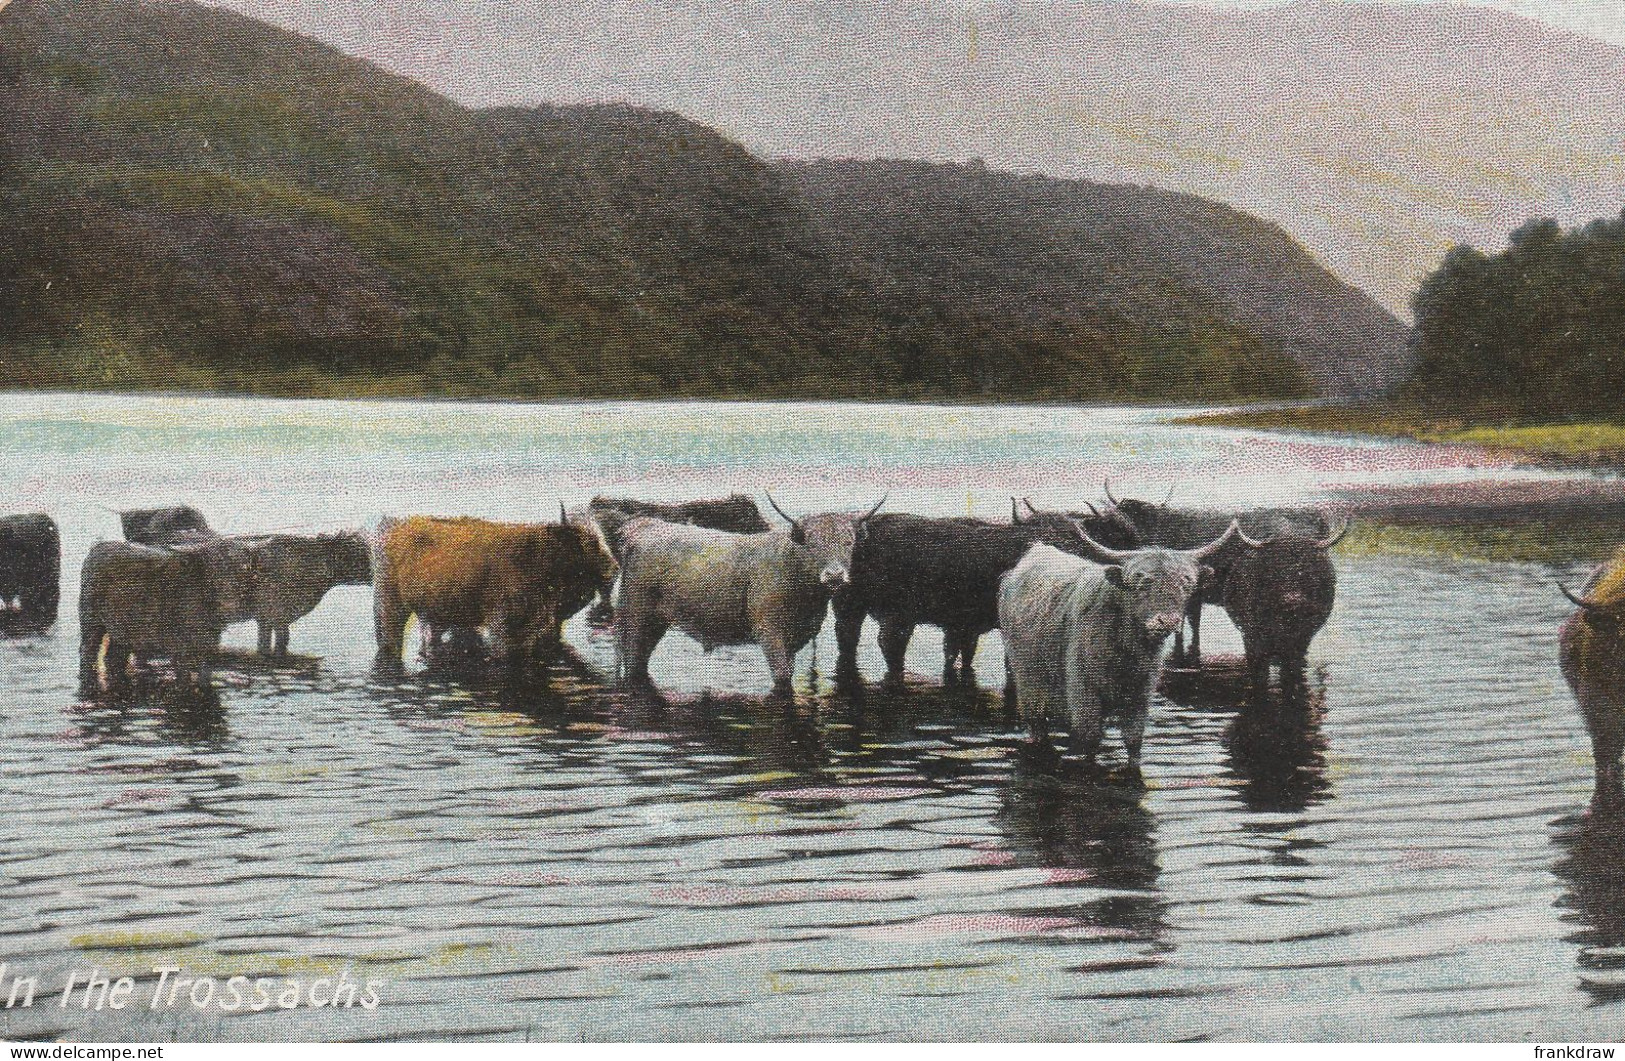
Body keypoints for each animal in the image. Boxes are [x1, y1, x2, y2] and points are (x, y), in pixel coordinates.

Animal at [1001, 519, 1254, 760]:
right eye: (1141, 583)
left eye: (1186, 583)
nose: (1166, 621)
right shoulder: (1084, 694)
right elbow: (1089, 741)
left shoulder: (1140, 695)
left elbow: (1134, 742)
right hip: (1028, 683)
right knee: (1036, 724)